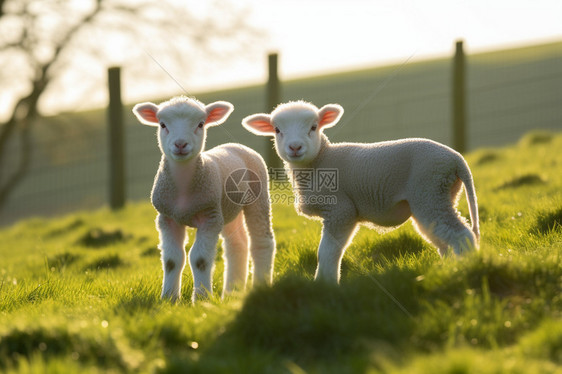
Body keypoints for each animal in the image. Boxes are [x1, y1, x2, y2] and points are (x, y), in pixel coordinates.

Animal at [130, 96, 274, 300]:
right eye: (162, 124)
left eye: (200, 124)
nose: (180, 144)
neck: (183, 192)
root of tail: (235, 145)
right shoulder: (167, 218)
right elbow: (171, 260)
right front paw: (169, 298)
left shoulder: (210, 217)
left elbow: (200, 259)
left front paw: (201, 298)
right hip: (228, 209)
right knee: (237, 245)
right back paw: (231, 292)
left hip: (257, 197)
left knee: (262, 241)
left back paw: (260, 285)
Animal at [241, 101, 476, 282]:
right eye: (277, 130)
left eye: (314, 127)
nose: (295, 147)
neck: (320, 161)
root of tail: (456, 159)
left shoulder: (340, 211)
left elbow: (327, 251)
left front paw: (324, 284)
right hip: (438, 195)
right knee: (442, 240)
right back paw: (449, 269)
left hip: (430, 191)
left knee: (462, 235)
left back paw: (468, 267)